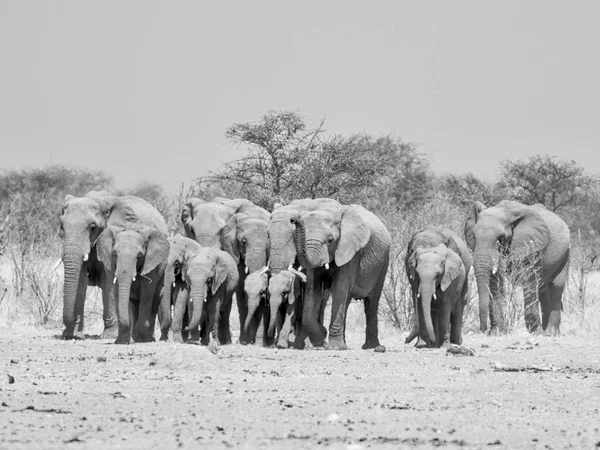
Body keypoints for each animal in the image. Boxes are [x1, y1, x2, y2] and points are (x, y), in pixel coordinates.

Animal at [58, 191, 168, 342]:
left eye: (92, 227)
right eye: (62, 226)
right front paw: (74, 335)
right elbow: (80, 280)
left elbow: (108, 283)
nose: (67, 334)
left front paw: (109, 336)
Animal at [292, 201, 394, 352]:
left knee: (371, 303)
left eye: (330, 240)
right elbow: (313, 289)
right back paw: (345, 344)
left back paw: (371, 347)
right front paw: (321, 338)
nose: (294, 220)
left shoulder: (352, 252)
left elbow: (339, 288)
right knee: (346, 302)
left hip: (383, 264)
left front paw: (333, 347)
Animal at [466, 200, 568, 334]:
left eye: (501, 238)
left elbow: (530, 281)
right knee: (543, 289)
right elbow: (495, 283)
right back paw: (546, 331)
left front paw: (536, 333)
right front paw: (496, 333)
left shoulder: (532, 247)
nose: (483, 330)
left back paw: (550, 333)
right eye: (473, 236)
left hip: (565, 253)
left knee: (556, 286)